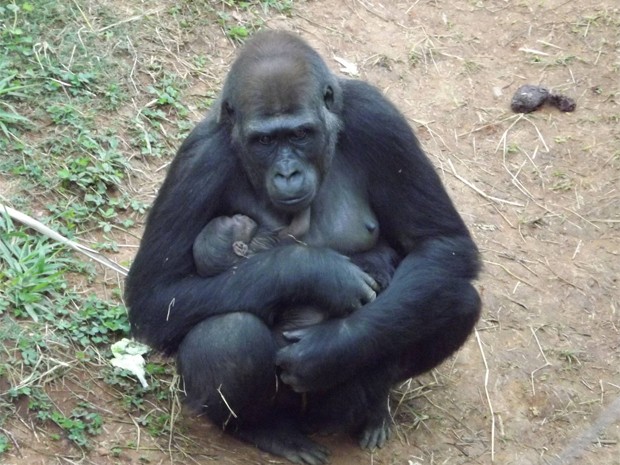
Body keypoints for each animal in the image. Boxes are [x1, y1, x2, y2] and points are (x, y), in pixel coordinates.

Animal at [124, 29, 480, 464]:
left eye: (299, 134)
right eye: (264, 141)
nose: (288, 173)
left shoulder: (378, 118)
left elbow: (442, 243)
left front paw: (329, 348)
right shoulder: (199, 158)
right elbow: (158, 299)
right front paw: (315, 271)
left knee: (453, 297)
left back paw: (375, 407)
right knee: (229, 335)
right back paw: (265, 430)